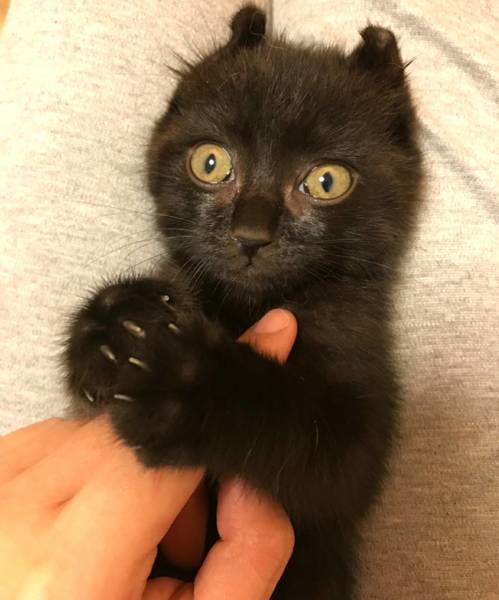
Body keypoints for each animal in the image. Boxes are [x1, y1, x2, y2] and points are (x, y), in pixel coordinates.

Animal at [64, 5, 422, 599]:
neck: (249, 303)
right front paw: (112, 321)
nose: (251, 235)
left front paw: (180, 381)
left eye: (327, 181)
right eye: (210, 163)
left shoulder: (361, 414)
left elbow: (299, 427)